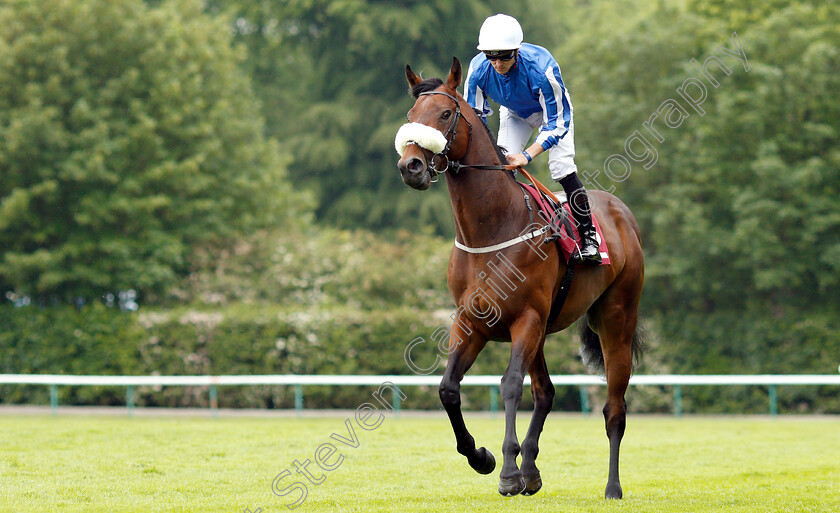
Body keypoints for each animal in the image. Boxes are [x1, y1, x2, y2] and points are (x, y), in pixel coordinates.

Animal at [398, 58, 648, 498]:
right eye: (412, 115)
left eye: (444, 114)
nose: (410, 166)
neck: (492, 229)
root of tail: (622, 214)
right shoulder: (471, 321)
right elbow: (448, 388)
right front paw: (482, 457)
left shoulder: (525, 318)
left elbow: (511, 384)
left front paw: (508, 471)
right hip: (545, 330)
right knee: (546, 392)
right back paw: (532, 470)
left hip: (615, 319)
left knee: (614, 408)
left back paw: (612, 487)